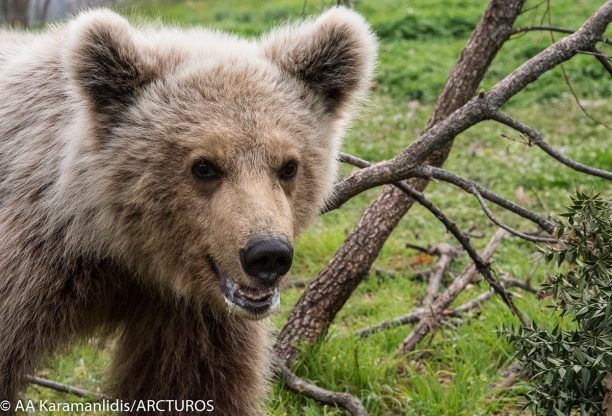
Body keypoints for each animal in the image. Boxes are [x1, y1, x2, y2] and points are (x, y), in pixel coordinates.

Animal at [0, 7, 372, 416]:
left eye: (289, 166)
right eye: (204, 166)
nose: (268, 255)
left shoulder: (194, 318)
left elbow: (195, 387)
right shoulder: (29, 273)